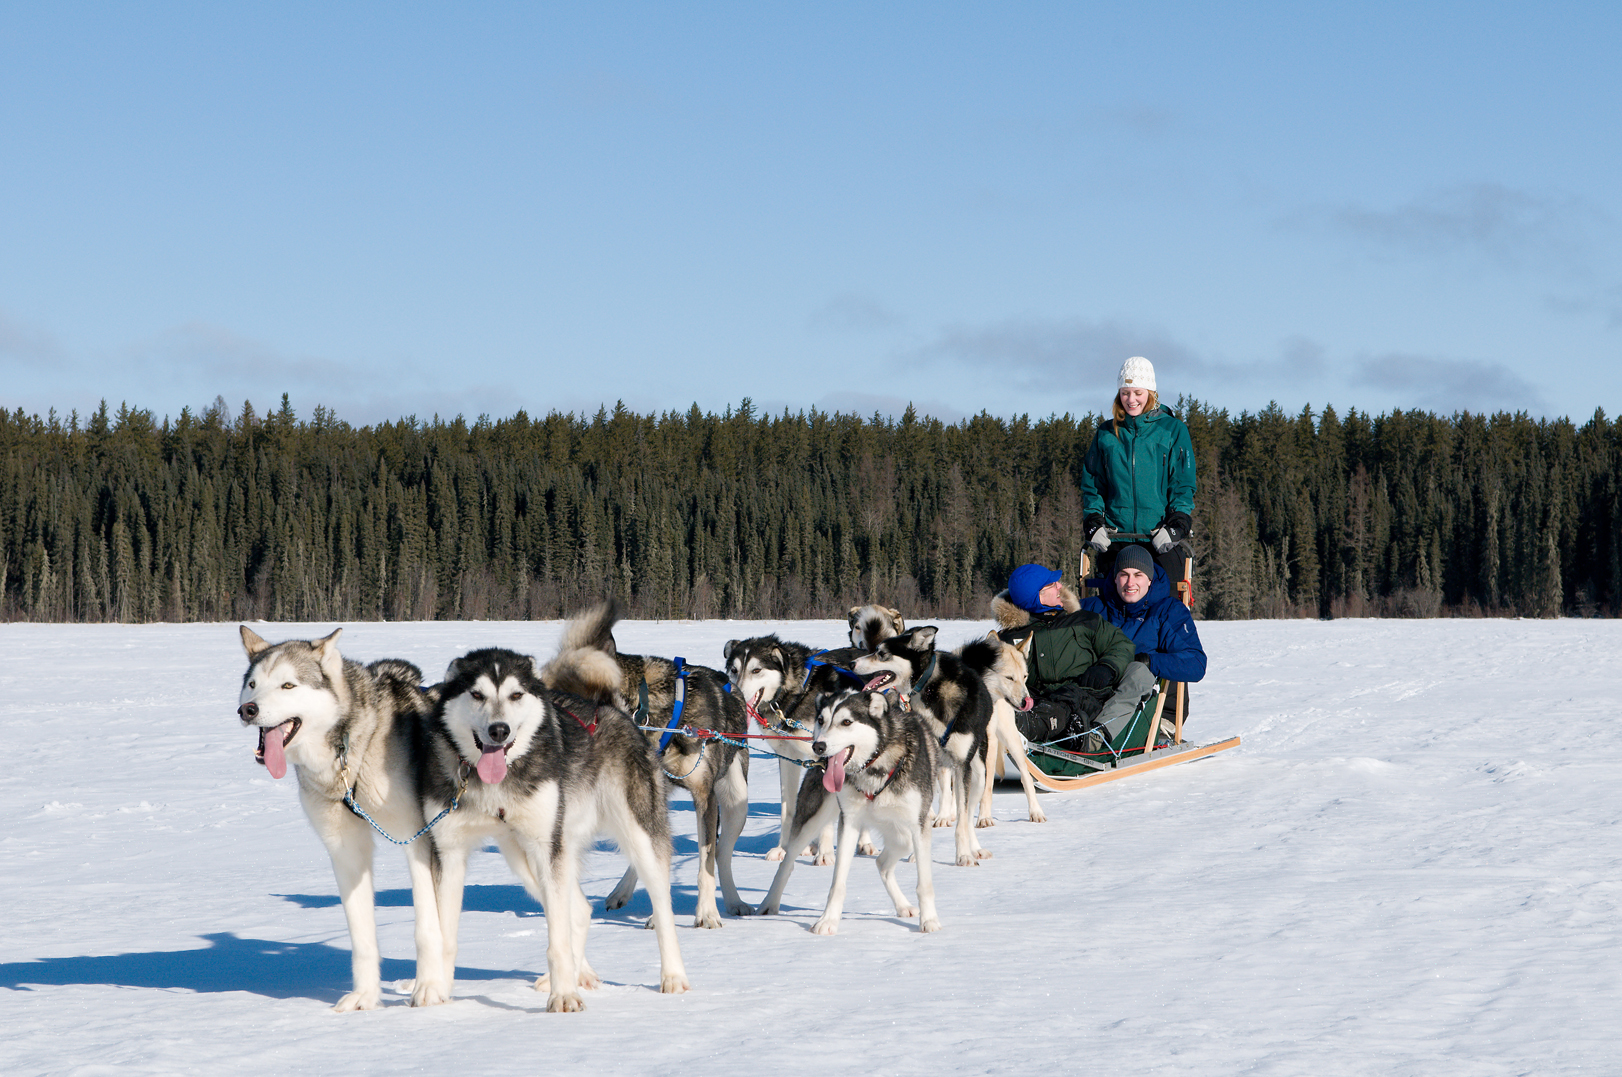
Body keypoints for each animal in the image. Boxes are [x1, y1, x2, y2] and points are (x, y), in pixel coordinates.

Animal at [236, 622, 450, 1012]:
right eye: (254, 684)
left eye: (288, 685)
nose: (248, 709)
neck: (351, 751)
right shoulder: (346, 851)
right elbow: (362, 935)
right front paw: (365, 997)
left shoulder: (419, 841)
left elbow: (428, 926)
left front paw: (429, 988)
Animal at [541, 600, 749, 927]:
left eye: (559, 697)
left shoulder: (705, 796)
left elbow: (707, 862)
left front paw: (706, 913)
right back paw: (622, 891)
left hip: (736, 800)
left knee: (722, 855)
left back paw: (733, 901)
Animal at [752, 690, 947, 934]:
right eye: (821, 720)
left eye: (846, 722)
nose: (819, 746)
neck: (876, 765)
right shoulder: (849, 822)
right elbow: (838, 883)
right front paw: (828, 921)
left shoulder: (919, 827)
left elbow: (925, 883)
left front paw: (929, 920)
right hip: (812, 819)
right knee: (786, 864)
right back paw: (769, 903)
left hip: (904, 837)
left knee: (882, 864)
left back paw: (903, 906)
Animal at [856, 622, 992, 869]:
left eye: (881, 653)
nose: (852, 663)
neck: (927, 687)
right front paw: (915, 854)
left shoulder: (961, 767)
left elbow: (962, 820)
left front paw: (963, 855)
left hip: (977, 774)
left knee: (968, 817)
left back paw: (975, 848)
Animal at [953, 632, 1044, 823]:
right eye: (1009, 678)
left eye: (1025, 676)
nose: (1027, 701)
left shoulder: (988, 743)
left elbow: (986, 786)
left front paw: (984, 818)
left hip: (1011, 740)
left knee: (1025, 777)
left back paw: (1036, 812)